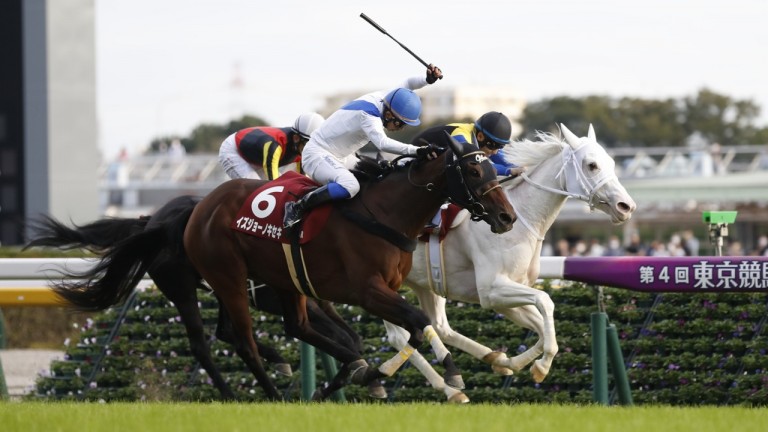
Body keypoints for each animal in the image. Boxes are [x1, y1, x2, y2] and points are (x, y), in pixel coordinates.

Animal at [182, 134, 512, 398]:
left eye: (491, 168)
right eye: (473, 170)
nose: (507, 217)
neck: (384, 213)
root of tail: (202, 205)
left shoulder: (388, 288)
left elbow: (418, 327)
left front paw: (374, 372)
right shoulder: (368, 291)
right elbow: (418, 322)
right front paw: (399, 372)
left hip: (283, 279)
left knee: (297, 326)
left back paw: (349, 368)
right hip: (229, 279)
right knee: (245, 343)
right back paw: (275, 395)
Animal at [382, 124, 636, 402]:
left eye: (612, 162)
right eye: (592, 165)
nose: (626, 206)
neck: (521, 219)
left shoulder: (506, 295)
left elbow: (541, 327)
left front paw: (510, 362)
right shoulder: (492, 290)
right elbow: (546, 302)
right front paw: (540, 367)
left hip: (425, 283)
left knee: (438, 326)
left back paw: (477, 368)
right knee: (399, 336)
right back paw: (440, 385)